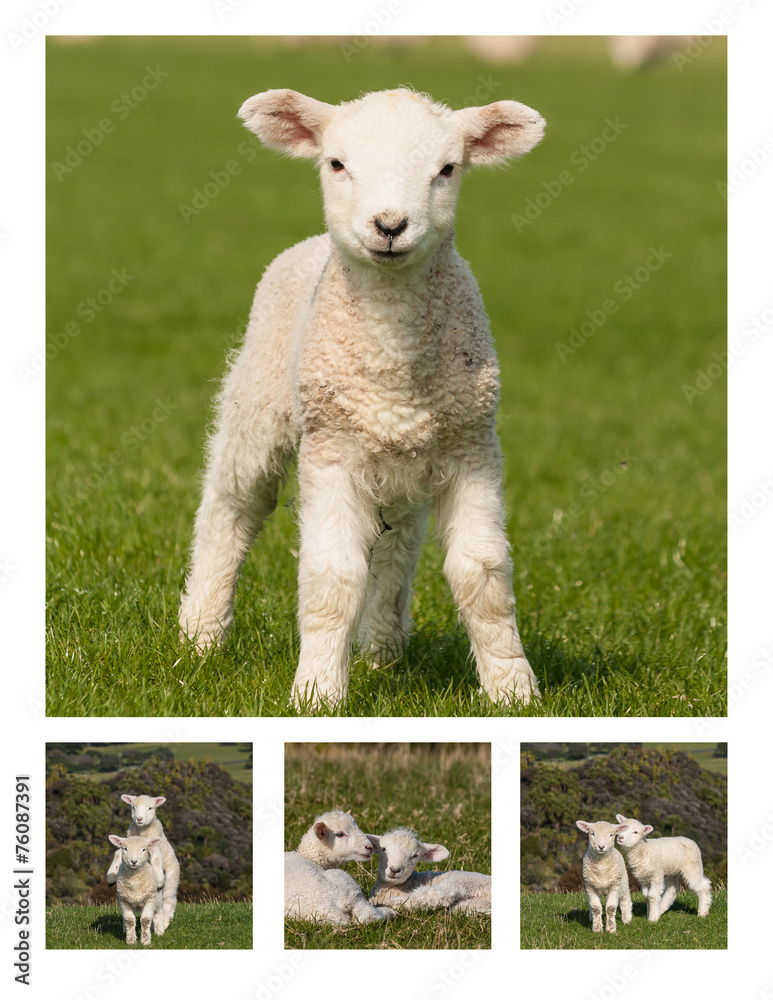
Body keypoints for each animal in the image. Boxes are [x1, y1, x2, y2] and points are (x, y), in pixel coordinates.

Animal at [107, 794, 180, 932]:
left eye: (150, 808)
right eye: (133, 807)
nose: (139, 819)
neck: (142, 833)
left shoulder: (155, 847)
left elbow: (157, 859)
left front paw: (159, 879)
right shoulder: (126, 843)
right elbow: (118, 853)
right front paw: (110, 876)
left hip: (172, 877)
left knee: (169, 900)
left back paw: (164, 923)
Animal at [179, 86, 546, 710]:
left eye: (447, 169)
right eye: (336, 164)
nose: (390, 225)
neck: (393, 369)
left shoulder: (472, 446)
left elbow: (483, 573)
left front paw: (512, 690)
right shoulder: (333, 451)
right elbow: (333, 575)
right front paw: (317, 693)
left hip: (403, 462)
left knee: (399, 544)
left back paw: (382, 648)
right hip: (260, 400)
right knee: (232, 506)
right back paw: (200, 634)